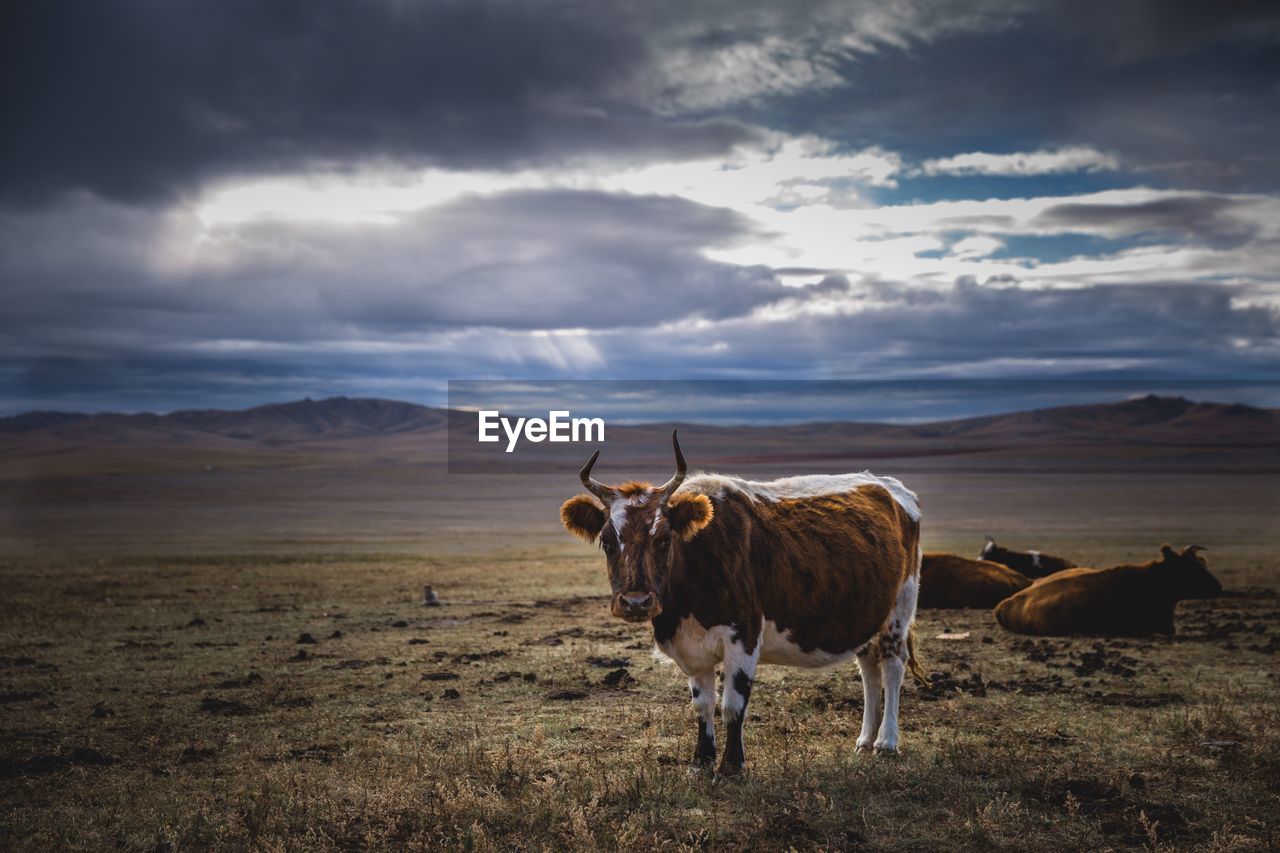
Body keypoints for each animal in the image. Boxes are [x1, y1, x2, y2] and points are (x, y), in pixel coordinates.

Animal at [560, 427, 931, 768]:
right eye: (607, 541)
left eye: (664, 539)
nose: (636, 602)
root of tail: (889, 486)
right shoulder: (692, 647)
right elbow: (703, 705)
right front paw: (702, 760)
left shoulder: (744, 637)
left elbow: (733, 704)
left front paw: (731, 767)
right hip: (867, 613)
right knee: (868, 668)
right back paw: (865, 740)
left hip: (899, 610)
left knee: (892, 666)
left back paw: (886, 742)